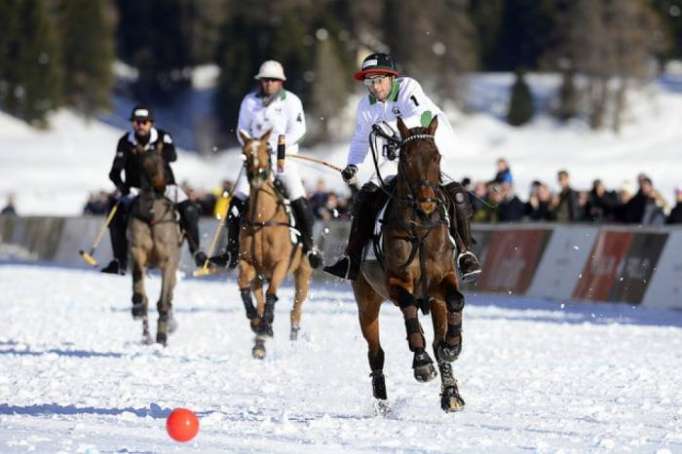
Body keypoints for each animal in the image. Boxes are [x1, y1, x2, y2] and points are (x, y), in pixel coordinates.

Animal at [127, 144, 181, 346]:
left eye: (163, 163)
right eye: (143, 166)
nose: (159, 187)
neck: (152, 216)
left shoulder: (168, 261)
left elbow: (164, 301)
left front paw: (162, 336)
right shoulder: (137, 250)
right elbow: (137, 276)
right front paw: (137, 304)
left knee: (169, 297)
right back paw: (145, 332)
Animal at [234, 127, 308, 358]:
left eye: (268, 150)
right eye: (245, 153)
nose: (258, 176)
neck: (262, 220)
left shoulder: (281, 264)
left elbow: (272, 294)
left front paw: (266, 326)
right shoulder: (248, 264)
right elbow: (246, 290)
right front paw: (256, 323)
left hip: (304, 272)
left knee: (296, 307)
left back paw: (291, 338)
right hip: (260, 274)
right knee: (260, 298)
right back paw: (259, 342)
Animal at [354, 116, 464, 412]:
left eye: (437, 156)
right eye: (405, 158)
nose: (426, 202)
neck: (421, 227)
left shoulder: (443, 280)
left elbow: (456, 301)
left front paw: (452, 347)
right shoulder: (396, 283)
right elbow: (408, 308)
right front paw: (422, 364)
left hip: (433, 301)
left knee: (437, 337)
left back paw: (451, 393)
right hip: (366, 300)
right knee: (375, 351)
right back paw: (381, 401)